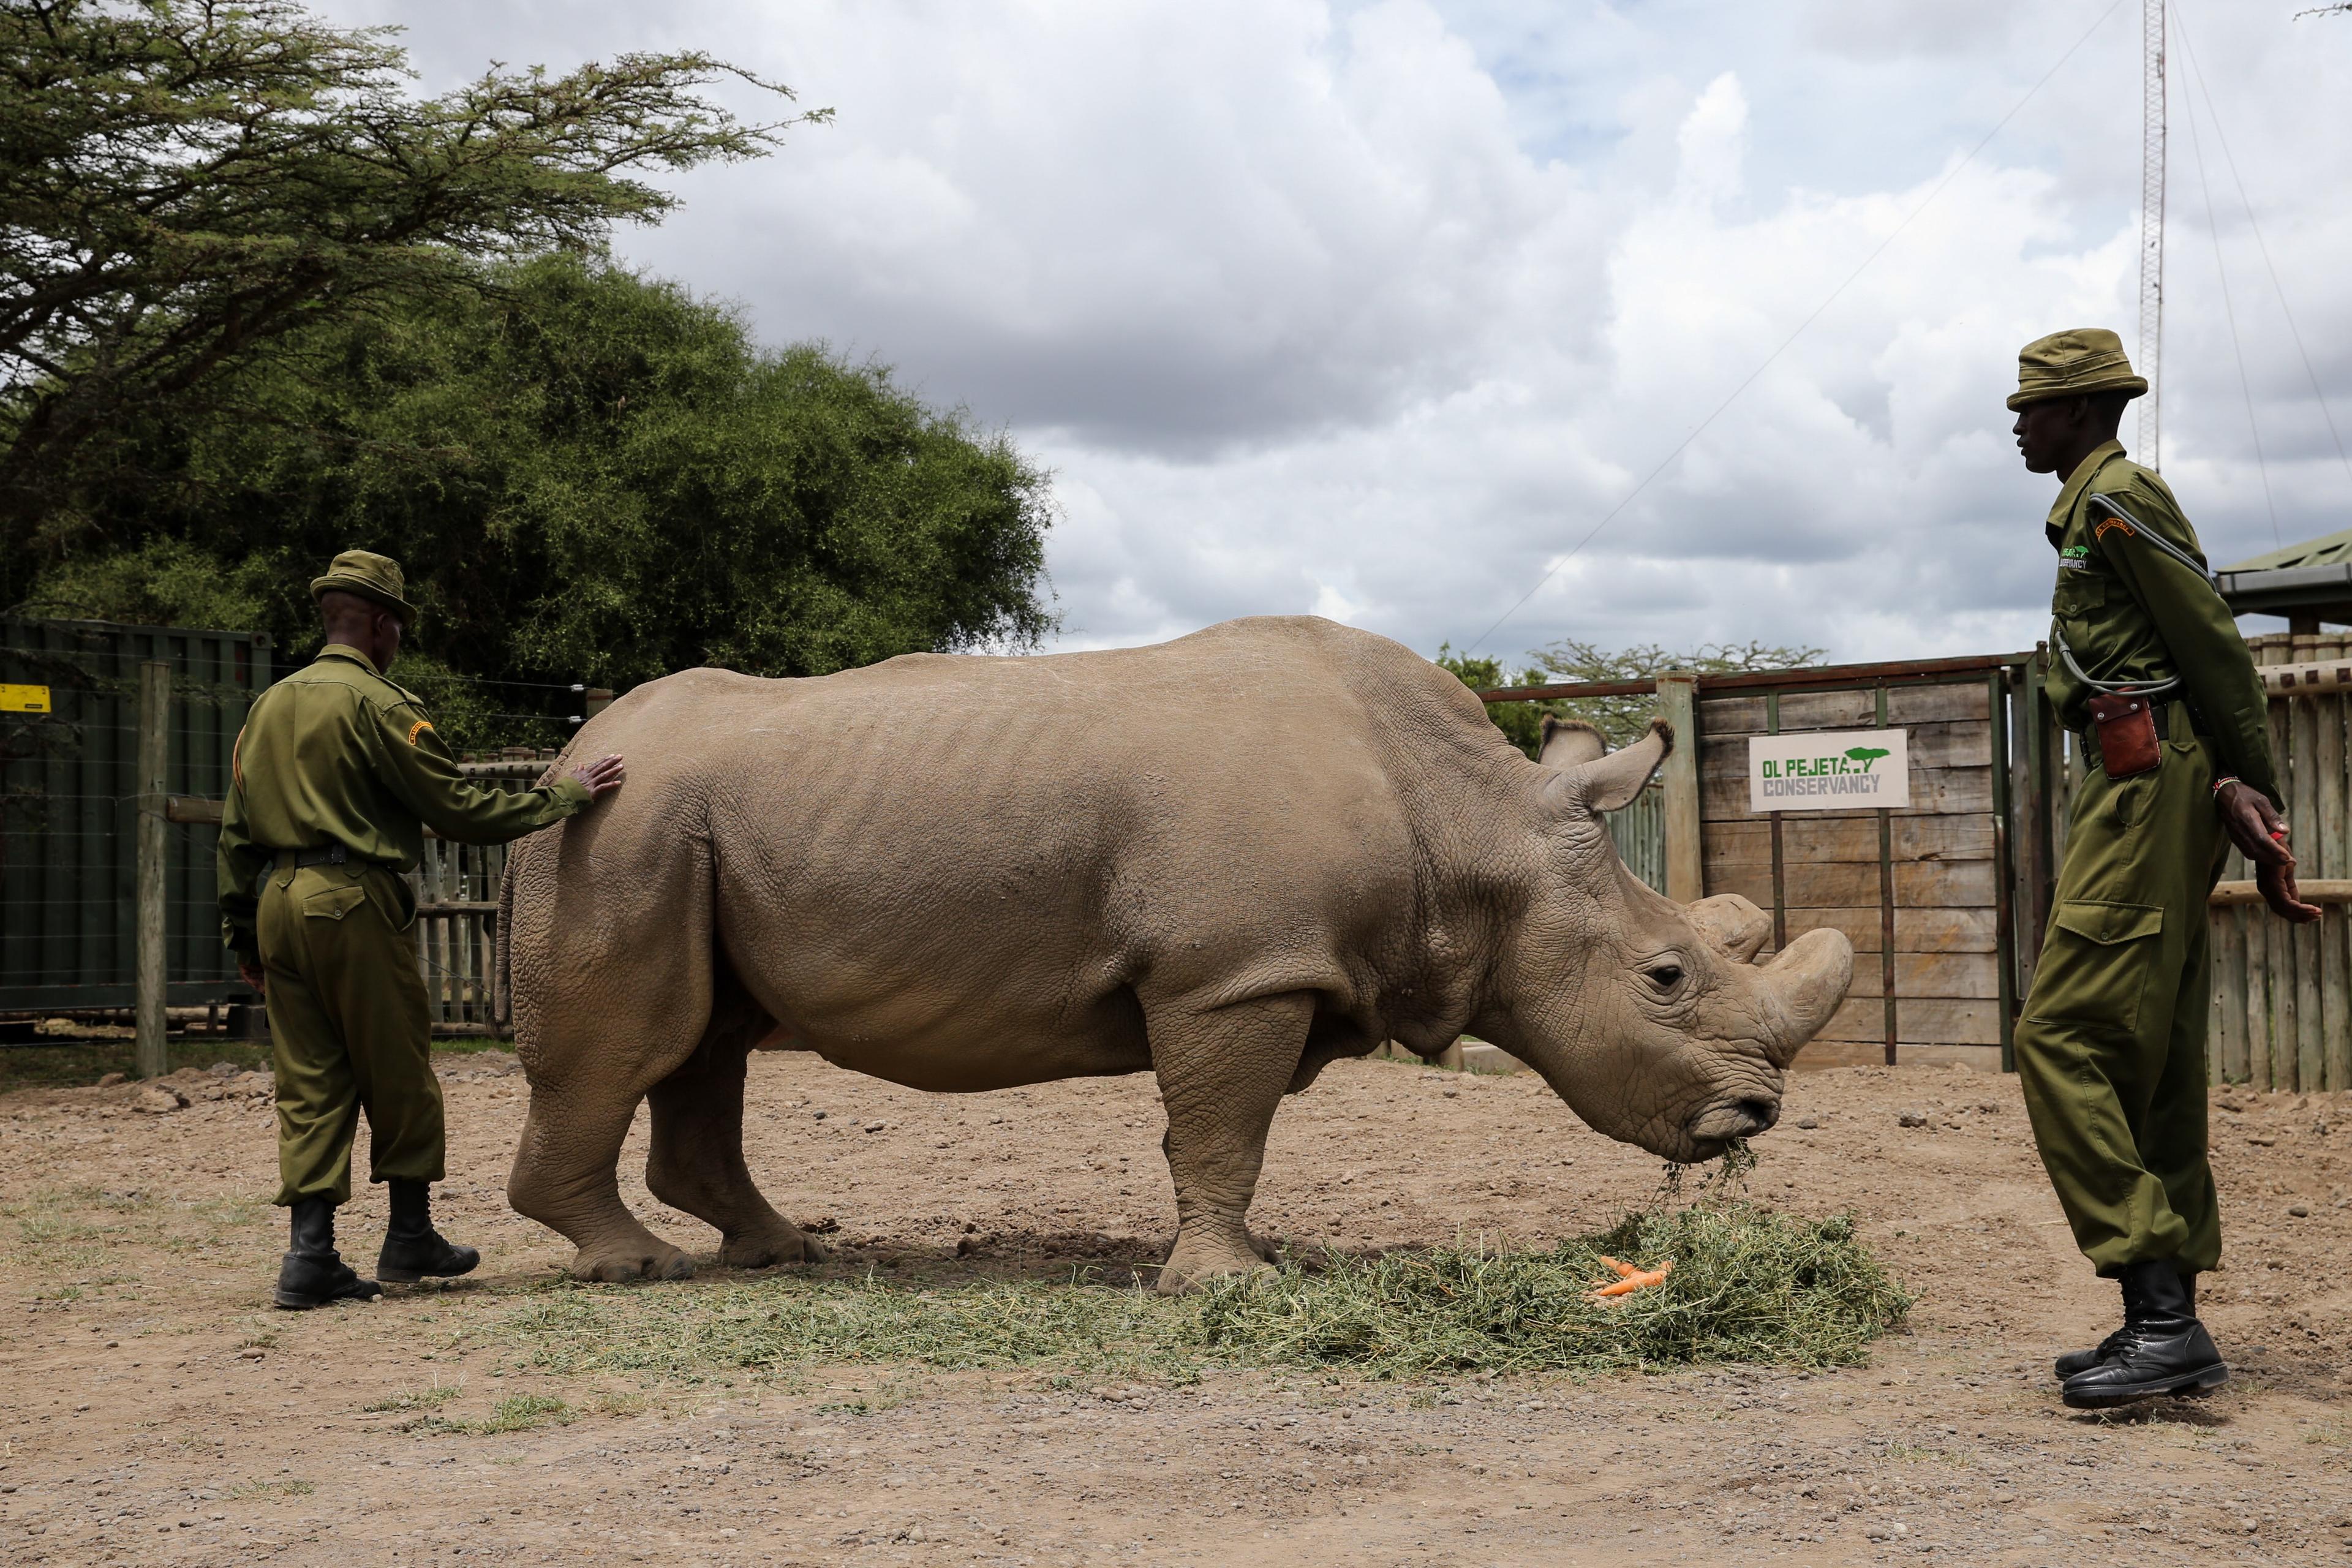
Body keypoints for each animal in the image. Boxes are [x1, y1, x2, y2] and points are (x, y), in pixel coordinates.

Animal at [500, 616, 1853, 1290]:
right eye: (1667, 977)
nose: (1756, 1117)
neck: (1472, 825)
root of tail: (570, 744)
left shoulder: (1255, 967)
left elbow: (1213, 1131)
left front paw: (1245, 1263)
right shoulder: (1236, 971)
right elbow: (1221, 1128)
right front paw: (1230, 1286)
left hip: (685, 829)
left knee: (708, 1041)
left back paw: (779, 1250)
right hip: (615, 826)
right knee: (630, 1042)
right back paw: (638, 1269)